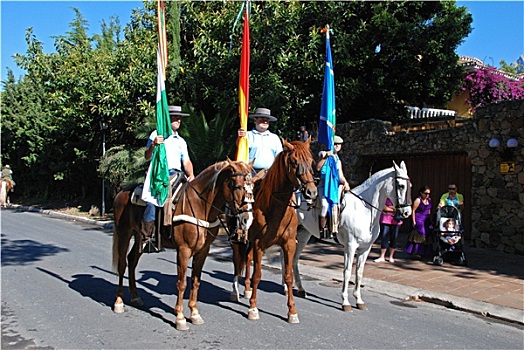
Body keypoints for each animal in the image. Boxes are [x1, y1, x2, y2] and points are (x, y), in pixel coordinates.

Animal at [112, 159, 254, 330]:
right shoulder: (183, 250)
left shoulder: (203, 251)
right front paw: (180, 317)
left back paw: (135, 297)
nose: (246, 219)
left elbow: (195, 281)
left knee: (132, 260)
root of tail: (121, 192)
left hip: (140, 237)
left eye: (252, 185)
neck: (200, 206)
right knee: (122, 265)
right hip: (124, 234)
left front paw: (194, 314)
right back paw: (119, 302)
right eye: (236, 185)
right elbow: (182, 283)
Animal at [232, 138, 318, 324]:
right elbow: (257, 275)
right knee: (238, 261)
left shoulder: (289, 244)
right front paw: (253, 308)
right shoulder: (259, 244)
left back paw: (247, 289)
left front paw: (292, 311)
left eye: (311, 161)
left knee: (247, 259)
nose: (312, 192)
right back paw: (236, 291)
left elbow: (288, 275)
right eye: (294, 162)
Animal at [288, 160, 412, 310]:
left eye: (410, 185)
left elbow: (359, 272)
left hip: (303, 234)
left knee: (292, 259)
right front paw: (345, 302)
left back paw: (298, 289)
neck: (364, 209)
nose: (407, 212)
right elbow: (347, 272)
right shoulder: (350, 246)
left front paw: (359, 300)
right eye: (401, 185)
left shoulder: (365, 248)